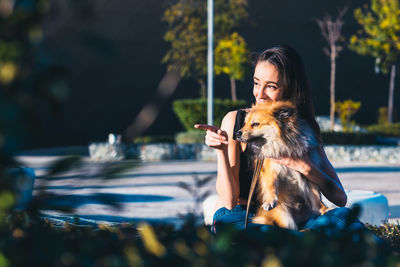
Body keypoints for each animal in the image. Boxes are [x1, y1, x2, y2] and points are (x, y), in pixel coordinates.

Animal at [236, 101, 326, 231]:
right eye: (245, 124)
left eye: (255, 124)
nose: (237, 133)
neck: (283, 145)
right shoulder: (272, 168)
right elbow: (271, 184)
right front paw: (270, 201)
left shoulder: (308, 174)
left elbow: (315, 195)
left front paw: (322, 208)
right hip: (285, 216)